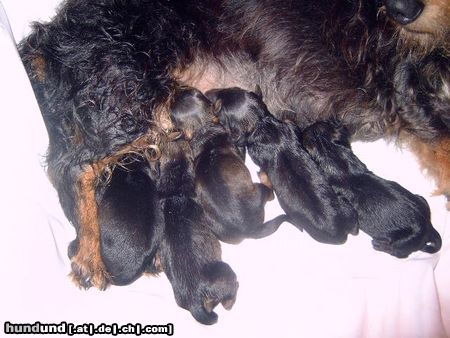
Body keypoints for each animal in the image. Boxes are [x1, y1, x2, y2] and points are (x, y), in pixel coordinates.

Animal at [170, 87, 288, 244]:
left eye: (195, 93)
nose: (176, 90)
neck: (204, 129)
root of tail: (250, 230)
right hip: (259, 190)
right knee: (269, 193)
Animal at [300, 120, 442, 258]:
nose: (308, 125)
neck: (332, 153)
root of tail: (429, 227)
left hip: (403, 242)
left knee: (398, 252)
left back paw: (380, 245)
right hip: (421, 198)